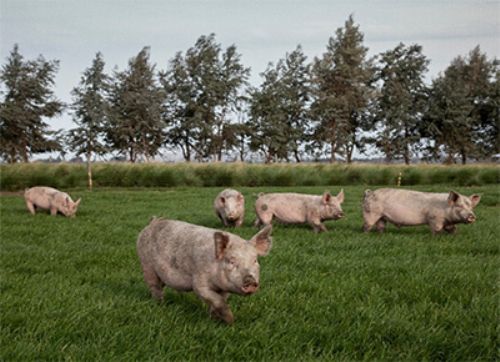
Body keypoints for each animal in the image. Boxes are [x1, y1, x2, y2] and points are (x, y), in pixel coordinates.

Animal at [135, 218, 272, 326]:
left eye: (255, 260)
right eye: (231, 261)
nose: (250, 280)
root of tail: (153, 222)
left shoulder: (224, 289)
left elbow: (218, 301)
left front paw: (215, 319)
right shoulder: (199, 283)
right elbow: (217, 301)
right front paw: (231, 321)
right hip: (147, 265)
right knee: (155, 287)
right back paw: (160, 304)